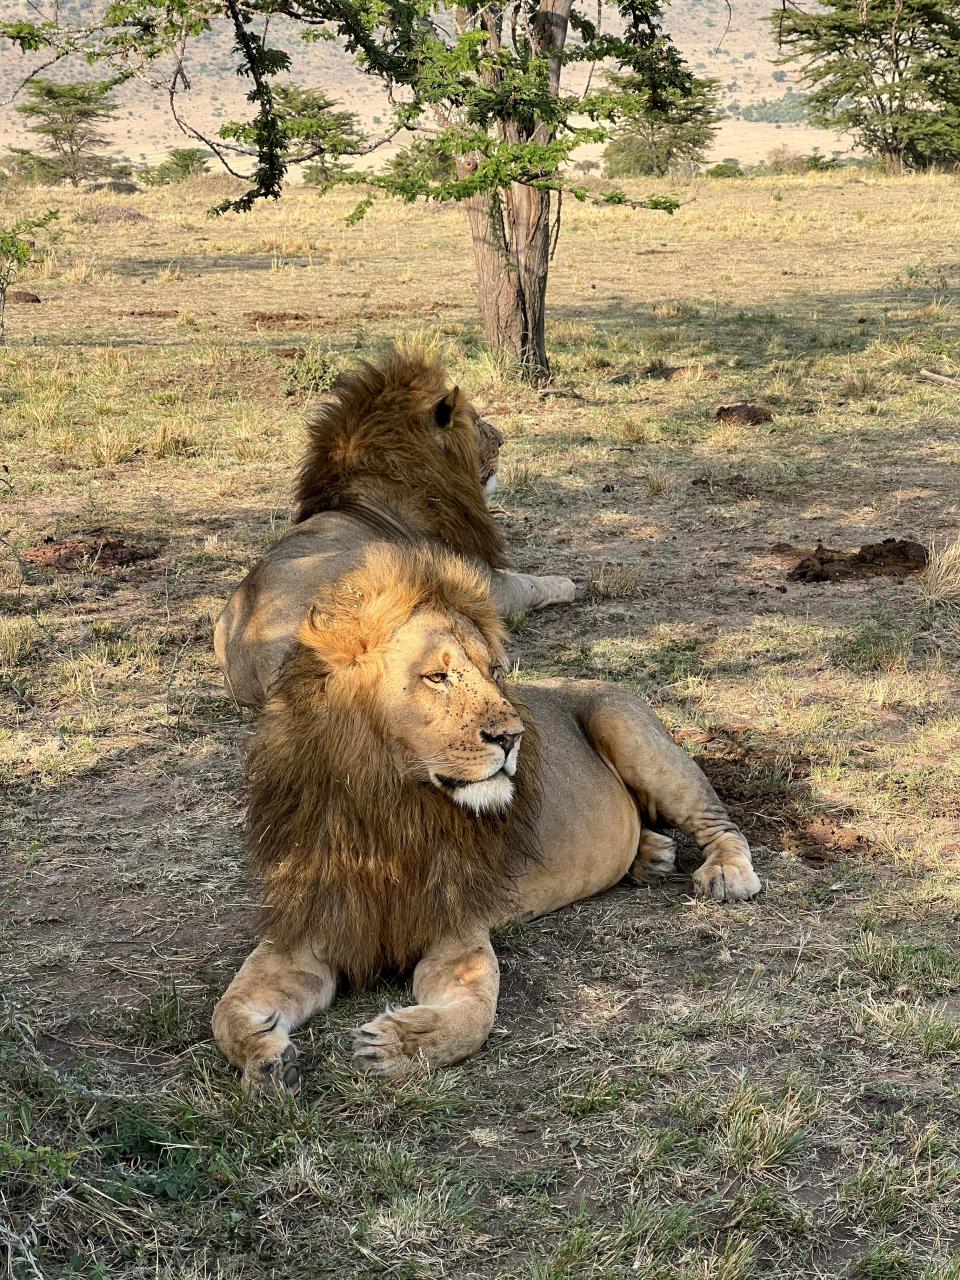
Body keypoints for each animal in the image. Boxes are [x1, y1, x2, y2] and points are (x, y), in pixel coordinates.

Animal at [213, 540, 762, 1090]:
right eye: (436, 677)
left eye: (495, 672)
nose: (512, 736)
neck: (386, 809)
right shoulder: (305, 932)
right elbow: (225, 1011)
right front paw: (266, 1057)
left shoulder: (456, 931)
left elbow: (474, 1014)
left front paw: (394, 1045)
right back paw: (651, 856)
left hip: (626, 725)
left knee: (719, 822)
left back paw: (725, 874)